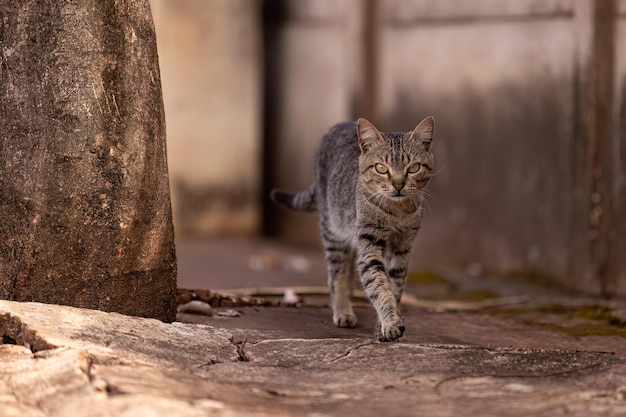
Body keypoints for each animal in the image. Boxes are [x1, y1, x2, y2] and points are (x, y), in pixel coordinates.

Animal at [268, 115, 434, 340]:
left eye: (414, 168)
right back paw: (343, 311)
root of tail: (338, 125)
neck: (396, 212)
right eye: (381, 168)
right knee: (335, 276)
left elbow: (394, 287)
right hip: (333, 231)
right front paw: (390, 322)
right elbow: (379, 286)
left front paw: (384, 324)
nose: (398, 185)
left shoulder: (403, 248)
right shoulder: (369, 245)